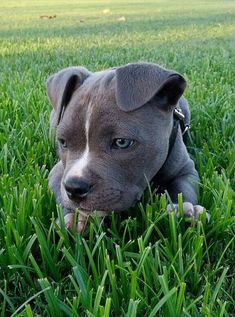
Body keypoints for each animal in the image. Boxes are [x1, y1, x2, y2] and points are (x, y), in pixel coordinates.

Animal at [46, 61, 205, 231]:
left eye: (122, 142)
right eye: (63, 142)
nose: (74, 188)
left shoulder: (185, 170)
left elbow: (183, 188)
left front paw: (185, 211)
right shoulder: (58, 172)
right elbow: (60, 193)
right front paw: (74, 218)